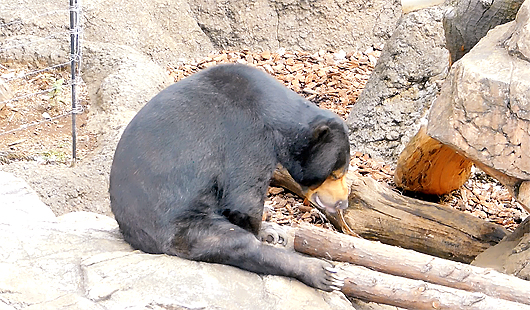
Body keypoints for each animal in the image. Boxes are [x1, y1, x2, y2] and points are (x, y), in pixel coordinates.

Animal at [109, 63, 348, 290]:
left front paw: (270, 229)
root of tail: (134, 235)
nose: (343, 203)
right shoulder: (248, 135)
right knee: (238, 244)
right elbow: (244, 197)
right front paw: (263, 230)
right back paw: (323, 273)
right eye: (335, 174)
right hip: (181, 228)